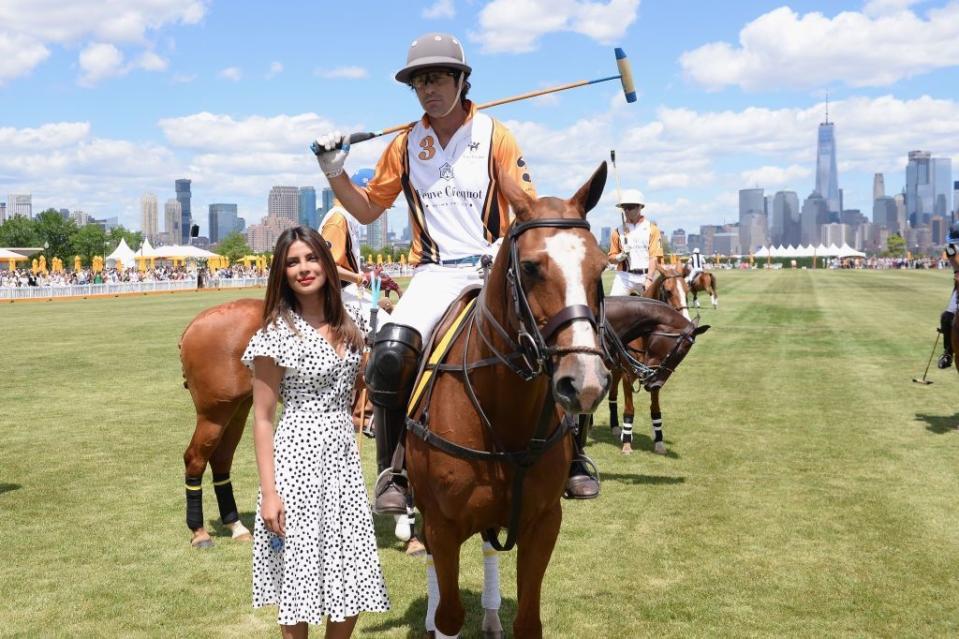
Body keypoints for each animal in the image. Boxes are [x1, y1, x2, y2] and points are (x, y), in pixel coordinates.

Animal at [612, 268, 692, 458]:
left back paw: (614, 427)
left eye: (687, 290)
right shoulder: (628, 375)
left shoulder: (655, 375)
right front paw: (627, 444)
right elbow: (630, 409)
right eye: (668, 291)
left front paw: (659, 442)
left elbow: (655, 409)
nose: (687, 323)